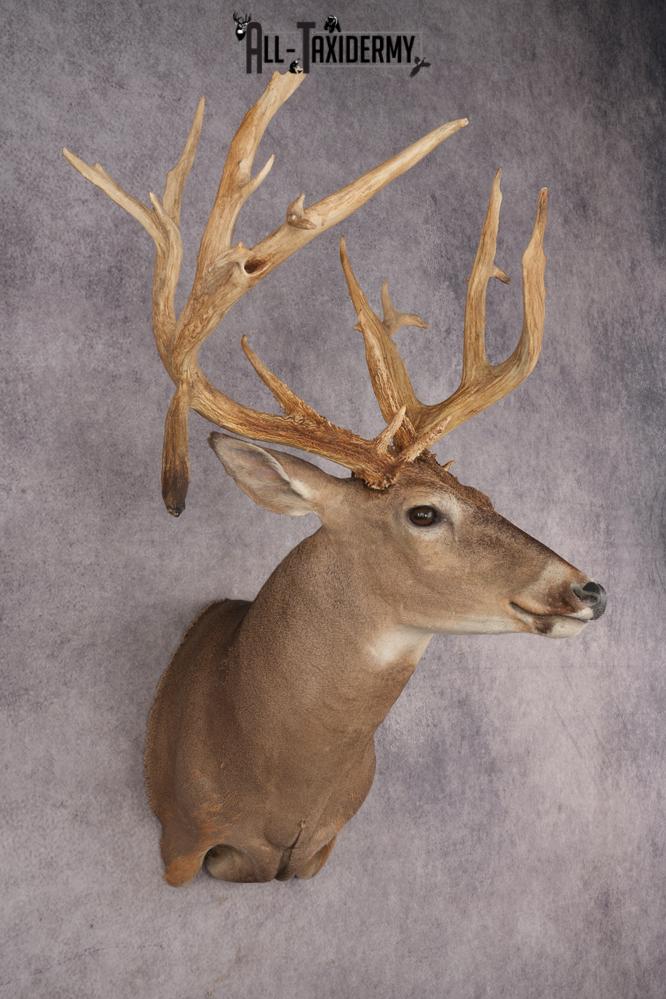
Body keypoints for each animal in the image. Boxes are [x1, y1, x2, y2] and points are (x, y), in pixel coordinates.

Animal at [64, 71, 607, 886]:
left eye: (488, 497)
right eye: (424, 513)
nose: (586, 588)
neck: (272, 779)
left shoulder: (319, 850)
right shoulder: (183, 841)